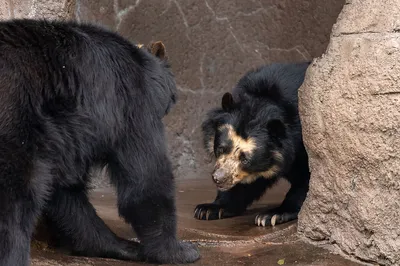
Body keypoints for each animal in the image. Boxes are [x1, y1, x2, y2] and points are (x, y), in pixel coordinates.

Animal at [0, 19, 200, 266]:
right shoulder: (131, 104)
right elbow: (146, 175)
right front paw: (179, 250)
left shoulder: (64, 130)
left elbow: (65, 188)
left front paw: (121, 245)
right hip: (15, 117)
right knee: (17, 195)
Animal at [194, 61, 312, 227]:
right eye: (221, 149)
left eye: (245, 159)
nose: (219, 178)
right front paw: (207, 209)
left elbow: (307, 180)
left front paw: (272, 215)